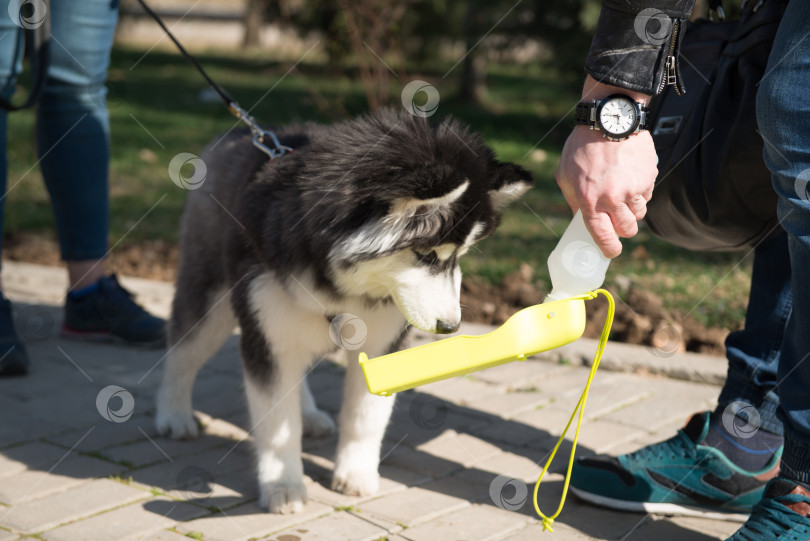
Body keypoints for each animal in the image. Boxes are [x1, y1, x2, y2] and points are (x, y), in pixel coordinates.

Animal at [153, 107, 532, 512]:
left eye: (460, 256)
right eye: (426, 254)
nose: (451, 326)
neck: (345, 286)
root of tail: (248, 132)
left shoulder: (382, 340)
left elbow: (365, 417)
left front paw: (356, 474)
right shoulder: (266, 334)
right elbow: (276, 424)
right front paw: (283, 485)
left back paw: (307, 414)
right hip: (212, 296)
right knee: (183, 349)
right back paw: (174, 414)